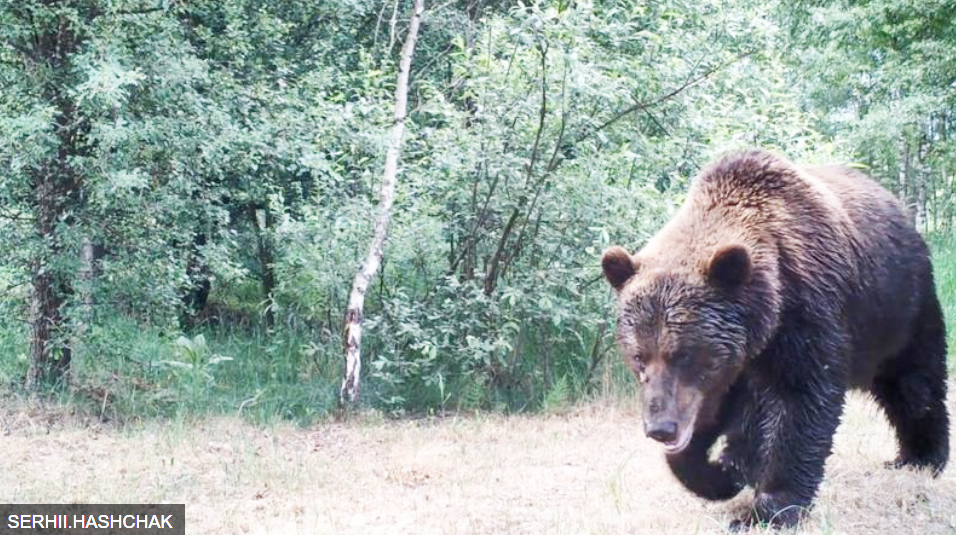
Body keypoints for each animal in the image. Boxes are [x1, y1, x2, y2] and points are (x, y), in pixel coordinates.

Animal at [604, 149, 948, 528]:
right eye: (638, 356)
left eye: (684, 354)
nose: (660, 428)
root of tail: (899, 207)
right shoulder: (733, 365)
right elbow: (715, 419)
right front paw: (718, 473)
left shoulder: (807, 317)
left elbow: (800, 403)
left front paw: (767, 507)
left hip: (899, 309)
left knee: (913, 383)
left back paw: (919, 457)